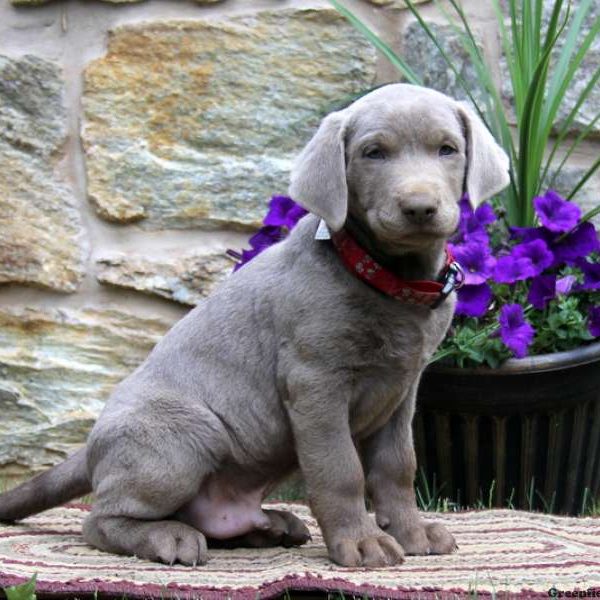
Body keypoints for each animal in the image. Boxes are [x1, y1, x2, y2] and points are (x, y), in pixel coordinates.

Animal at [0, 83, 508, 568]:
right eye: (373, 153)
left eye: (447, 149)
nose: (419, 207)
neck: (386, 278)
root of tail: (90, 447)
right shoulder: (315, 383)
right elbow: (341, 470)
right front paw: (361, 542)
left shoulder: (402, 390)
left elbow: (397, 466)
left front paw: (412, 532)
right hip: (186, 434)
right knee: (100, 519)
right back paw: (167, 537)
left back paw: (270, 525)